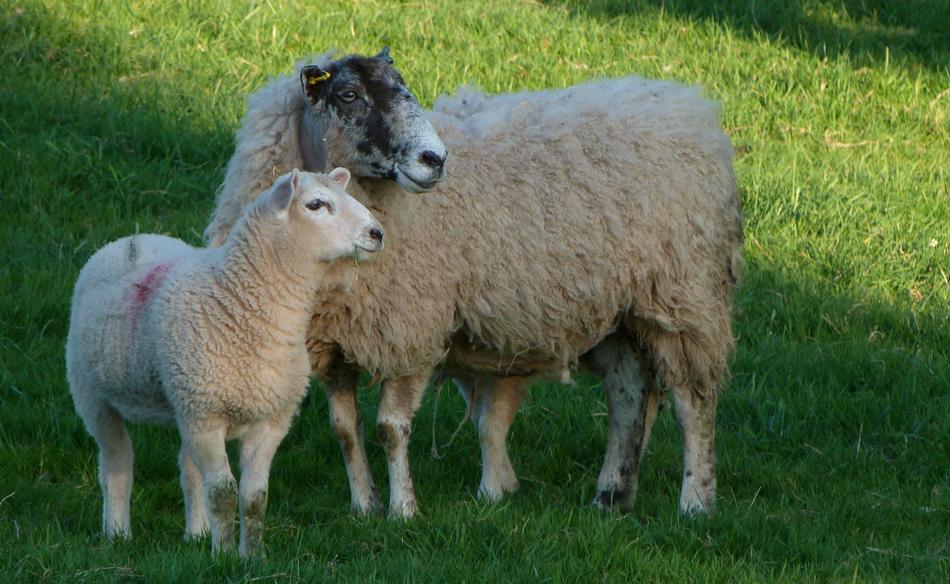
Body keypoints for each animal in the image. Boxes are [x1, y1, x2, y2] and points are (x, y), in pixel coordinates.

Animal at [65, 169, 383, 556]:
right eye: (316, 204)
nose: (377, 233)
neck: (237, 301)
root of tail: (133, 238)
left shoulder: (269, 420)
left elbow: (255, 496)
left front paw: (252, 556)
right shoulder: (206, 417)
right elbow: (222, 493)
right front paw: (224, 556)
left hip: (184, 402)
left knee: (188, 469)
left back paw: (197, 533)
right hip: (92, 393)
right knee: (117, 463)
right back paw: (117, 533)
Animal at [204, 50, 743, 519]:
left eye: (403, 86)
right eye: (349, 94)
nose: (435, 159)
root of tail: (686, 103)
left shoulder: (412, 328)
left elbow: (390, 429)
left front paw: (403, 511)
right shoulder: (334, 343)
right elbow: (345, 430)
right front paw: (364, 505)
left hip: (682, 295)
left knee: (693, 402)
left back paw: (695, 501)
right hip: (616, 308)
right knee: (629, 391)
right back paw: (612, 494)